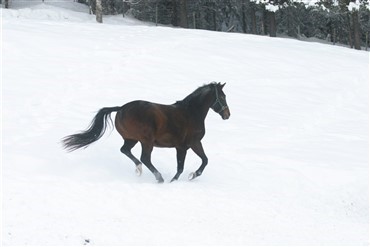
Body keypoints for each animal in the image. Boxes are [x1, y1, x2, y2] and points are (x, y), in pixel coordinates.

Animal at [62, 82, 230, 182]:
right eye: (222, 97)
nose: (227, 115)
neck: (191, 113)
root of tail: (121, 108)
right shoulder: (186, 146)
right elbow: (182, 166)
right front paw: (177, 180)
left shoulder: (192, 144)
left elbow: (205, 160)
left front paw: (193, 175)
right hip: (146, 141)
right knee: (145, 158)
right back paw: (159, 178)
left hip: (132, 139)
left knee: (126, 151)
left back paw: (139, 169)